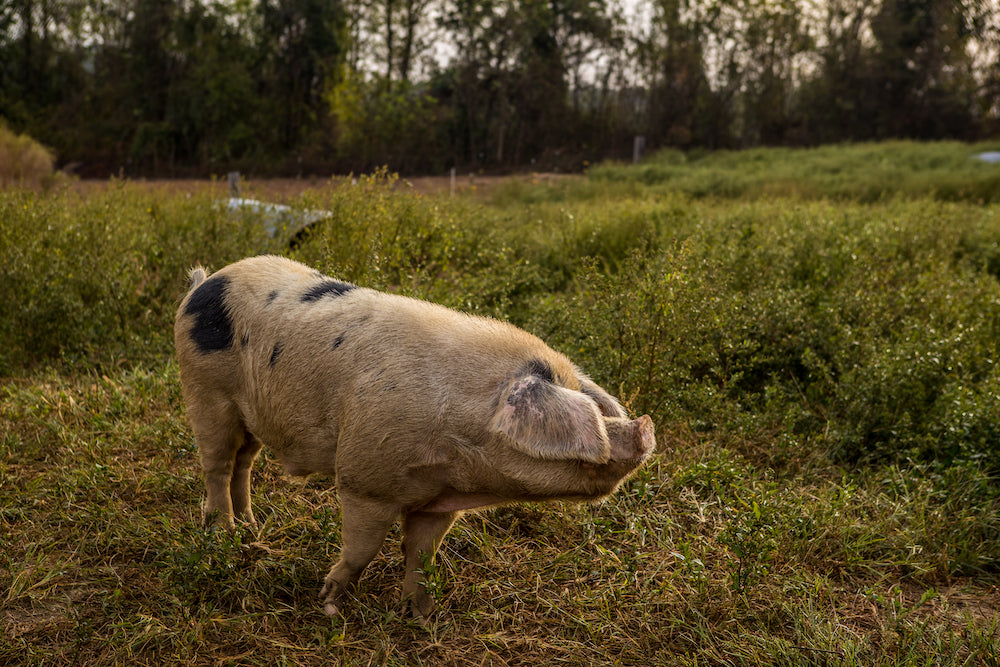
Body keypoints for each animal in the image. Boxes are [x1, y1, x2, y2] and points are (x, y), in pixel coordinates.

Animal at [175, 256, 652, 620]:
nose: (645, 426)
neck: (456, 455)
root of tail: (204, 283)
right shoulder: (363, 479)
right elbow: (363, 548)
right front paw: (328, 604)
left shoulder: (437, 502)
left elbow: (421, 555)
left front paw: (419, 616)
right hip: (205, 391)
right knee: (217, 464)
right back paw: (223, 534)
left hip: (252, 415)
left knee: (244, 462)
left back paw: (251, 528)